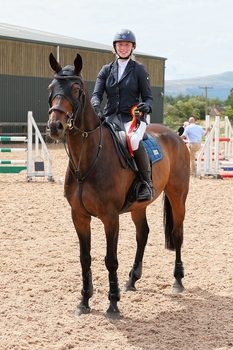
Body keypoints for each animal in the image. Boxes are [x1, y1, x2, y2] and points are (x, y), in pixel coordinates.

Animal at [46, 52, 190, 320]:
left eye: (76, 89)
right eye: (51, 88)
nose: (55, 126)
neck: (88, 159)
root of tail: (175, 135)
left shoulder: (110, 217)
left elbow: (110, 259)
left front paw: (112, 305)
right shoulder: (79, 216)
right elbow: (85, 258)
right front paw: (84, 301)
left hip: (178, 195)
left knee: (177, 233)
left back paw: (177, 281)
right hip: (138, 206)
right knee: (143, 234)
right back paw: (132, 280)